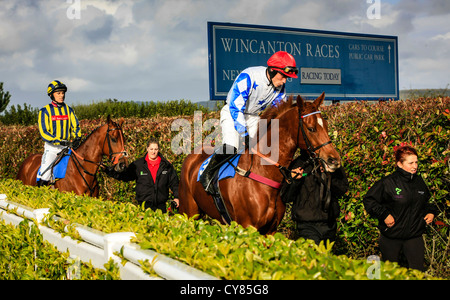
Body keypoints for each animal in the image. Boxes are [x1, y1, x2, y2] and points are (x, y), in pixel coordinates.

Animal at [179, 93, 342, 234]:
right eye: (311, 128)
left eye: (326, 125)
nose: (334, 160)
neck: (263, 173)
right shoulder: (247, 227)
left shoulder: (270, 230)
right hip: (188, 213)